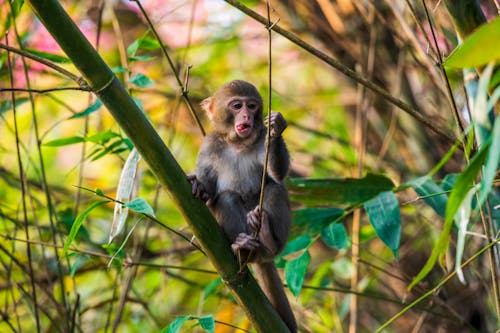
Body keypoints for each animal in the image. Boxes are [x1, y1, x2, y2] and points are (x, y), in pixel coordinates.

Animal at [188, 79, 296, 330]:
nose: (246, 115)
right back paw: (243, 249)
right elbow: (211, 193)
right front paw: (199, 186)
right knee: (226, 198)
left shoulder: (261, 137)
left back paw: (267, 237)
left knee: (274, 189)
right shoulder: (209, 145)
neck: (237, 142)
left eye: (252, 106)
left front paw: (276, 127)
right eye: (237, 106)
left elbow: (277, 174)